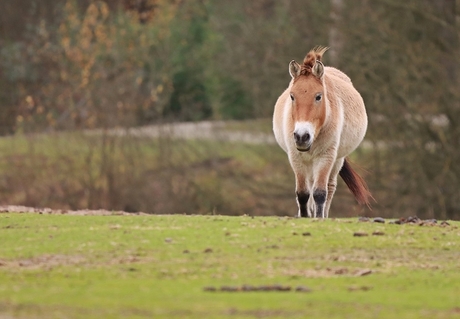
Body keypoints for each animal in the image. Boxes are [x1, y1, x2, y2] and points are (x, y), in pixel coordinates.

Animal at [272, 46, 372, 219]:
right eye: (292, 96)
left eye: (318, 96)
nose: (302, 136)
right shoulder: (296, 157)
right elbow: (303, 193)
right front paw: (304, 216)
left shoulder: (326, 156)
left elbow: (320, 192)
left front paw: (318, 218)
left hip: (337, 160)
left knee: (330, 187)